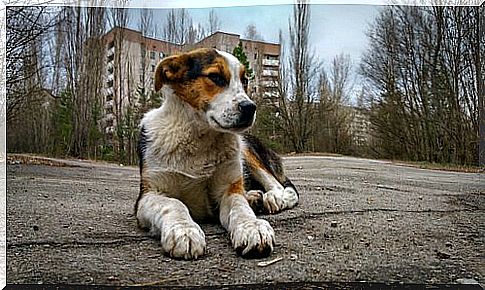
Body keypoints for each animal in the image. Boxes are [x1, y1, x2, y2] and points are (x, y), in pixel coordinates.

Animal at [134, 48, 296, 260]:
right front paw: (184, 230)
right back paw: (254, 197)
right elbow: (174, 203)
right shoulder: (148, 195)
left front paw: (252, 227)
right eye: (216, 77)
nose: (250, 108)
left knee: (281, 186)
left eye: (244, 80)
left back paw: (273, 198)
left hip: (245, 148)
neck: (199, 138)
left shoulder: (229, 189)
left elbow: (240, 208)